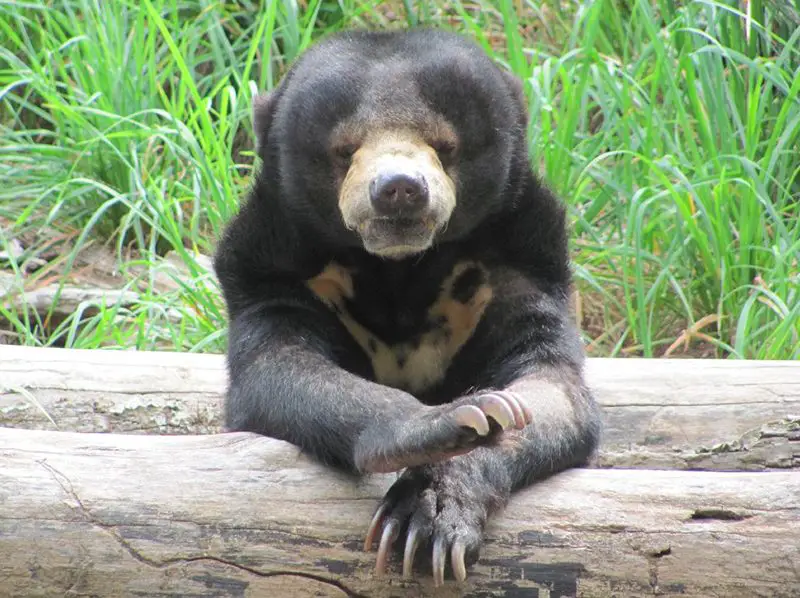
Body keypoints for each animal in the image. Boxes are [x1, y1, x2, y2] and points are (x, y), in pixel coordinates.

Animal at [213, 27, 602, 586]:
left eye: (444, 145)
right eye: (344, 149)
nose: (399, 190)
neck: (398, 269)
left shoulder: (516, 265)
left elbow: (548, 389)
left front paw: (430, 513)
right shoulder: (274, 270)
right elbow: (279, 368)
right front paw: (449, 420)